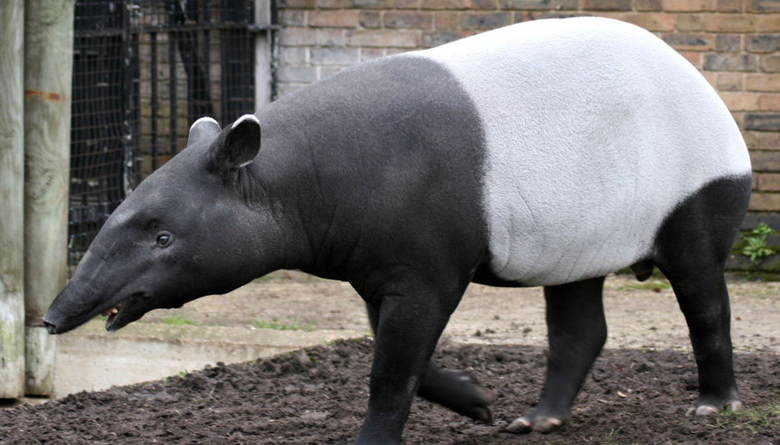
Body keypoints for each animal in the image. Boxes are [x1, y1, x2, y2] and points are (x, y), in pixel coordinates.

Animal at [44, 17, 751, 444]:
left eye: (163, 238)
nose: (51, 319)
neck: (294, 182)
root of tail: (704, 86)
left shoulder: (426, 262)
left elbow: (393, 367)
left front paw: (374, 438)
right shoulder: (375, 263)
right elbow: (394, 349)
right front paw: (477, 401)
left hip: (691, 194)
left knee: (703, 296)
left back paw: (714, 404)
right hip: (578, 232)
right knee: (580, 321)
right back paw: (536, 420)